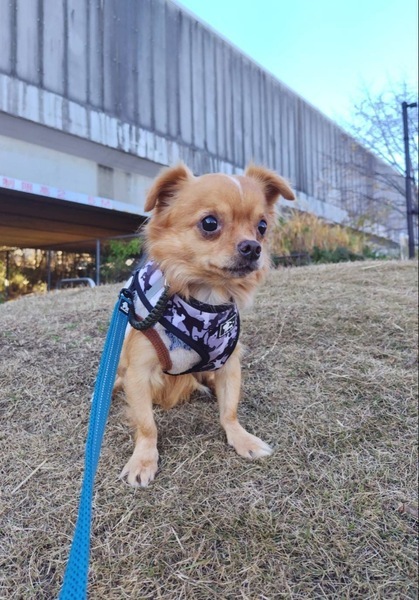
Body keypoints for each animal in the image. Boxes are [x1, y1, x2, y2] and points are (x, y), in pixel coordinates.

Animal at [116, 163, 295, 487]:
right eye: (209, 223)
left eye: (262, 226)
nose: (253, 247)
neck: (205, 297)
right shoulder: (138, 373)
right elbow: (147, 424)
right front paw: (143, 460)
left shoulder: (228, 364)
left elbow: (230, 411)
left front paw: (242, 440)